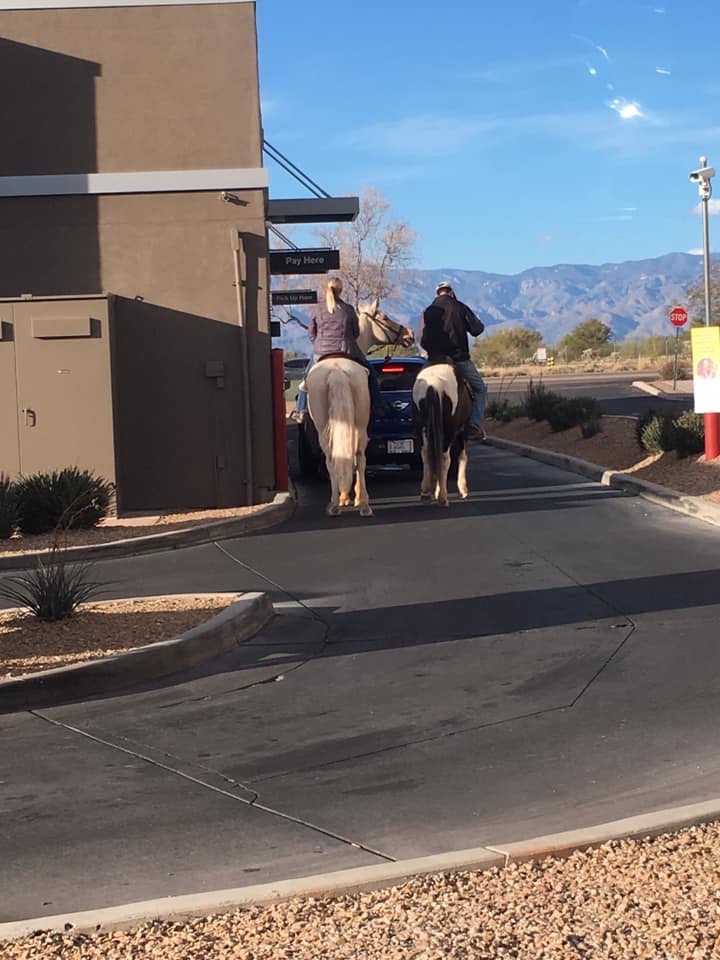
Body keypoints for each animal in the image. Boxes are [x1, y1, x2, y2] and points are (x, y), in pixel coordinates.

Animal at [306, 306, 416, 516]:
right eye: (384, 317)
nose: (409, 334)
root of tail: (336, 371)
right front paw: (351, 497)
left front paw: (344, 497)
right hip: (360, 424)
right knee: (359, 456)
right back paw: (363, 503)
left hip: (324, 426)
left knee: (332, 457)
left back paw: (335, 503)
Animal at [410, 362, 472, 510]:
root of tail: (433, 385)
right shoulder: (459, 430)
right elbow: (462, 456)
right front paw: (463, 489)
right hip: (448, 430)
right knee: (444, 458)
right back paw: (443, 497)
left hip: (422, 427)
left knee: (426, 454)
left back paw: (426, 492)